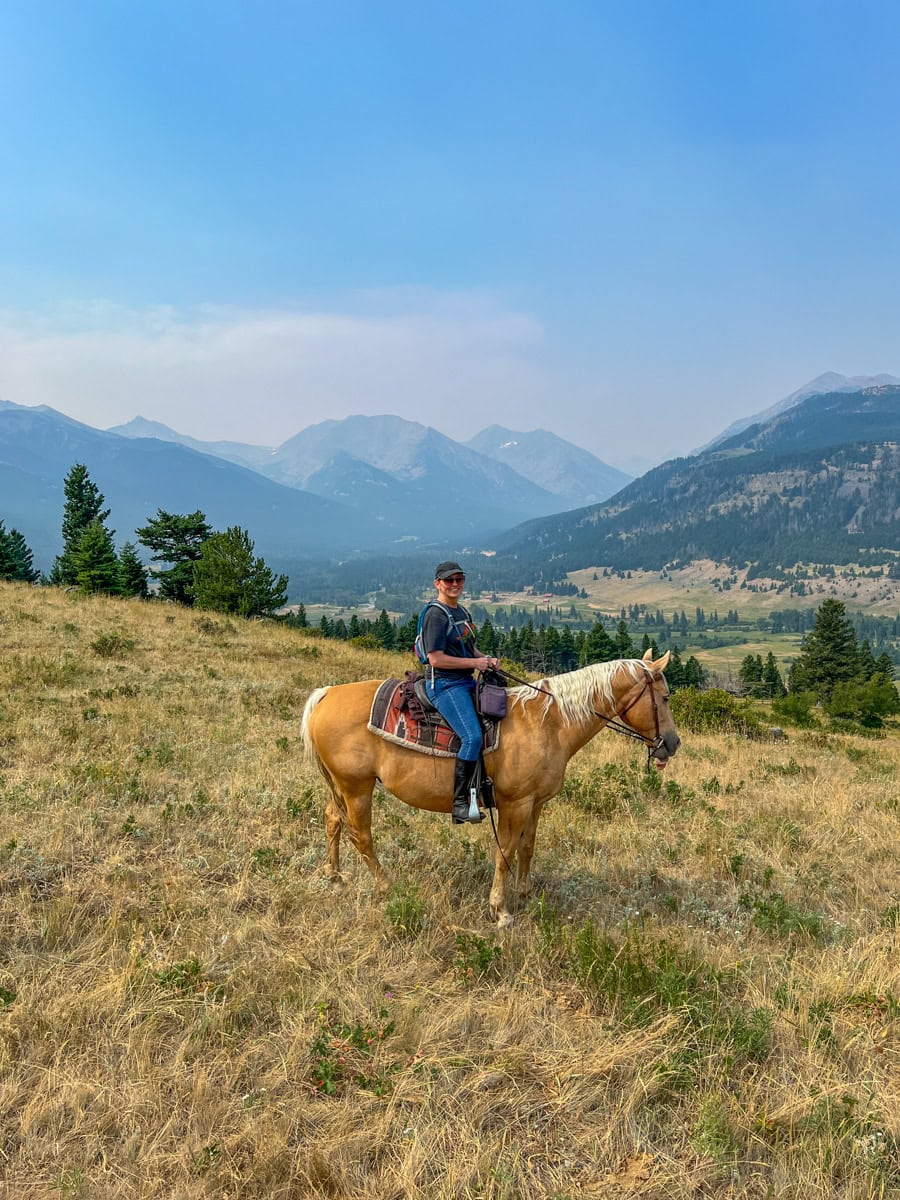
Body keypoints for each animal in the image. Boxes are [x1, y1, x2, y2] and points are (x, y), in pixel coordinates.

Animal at [300, 652, 681, 921]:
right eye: (664, 697)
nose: (673, 743)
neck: (549, 723)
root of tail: (326, 694)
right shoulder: (515, 802)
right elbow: (506, 851)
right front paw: (500, 909)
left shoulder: (536, 802)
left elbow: (527, 847)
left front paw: (525, 895)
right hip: (357, 787)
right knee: (361, 835)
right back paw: (385, 886)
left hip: (341, 786)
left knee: (332, 819)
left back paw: (335, 877)